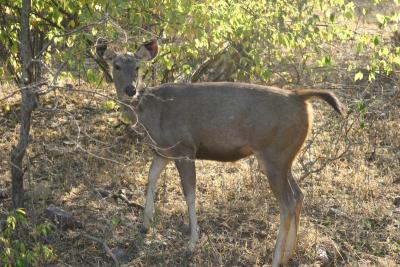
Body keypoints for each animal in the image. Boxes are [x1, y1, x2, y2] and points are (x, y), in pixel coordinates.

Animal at [95, 38, 346, 266]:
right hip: (284, 157)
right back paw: (289, 254)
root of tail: (300, 97)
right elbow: (151, 178)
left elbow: (190, 193)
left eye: (138, 67)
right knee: (299, 194)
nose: (130, 89)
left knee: (287, 202)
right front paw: (145, 225)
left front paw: (191, 244)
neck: (151, 114)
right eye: (116, 66)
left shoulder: (185, 148)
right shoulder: (162, 151)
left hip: (274, 154)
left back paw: (276, 259)